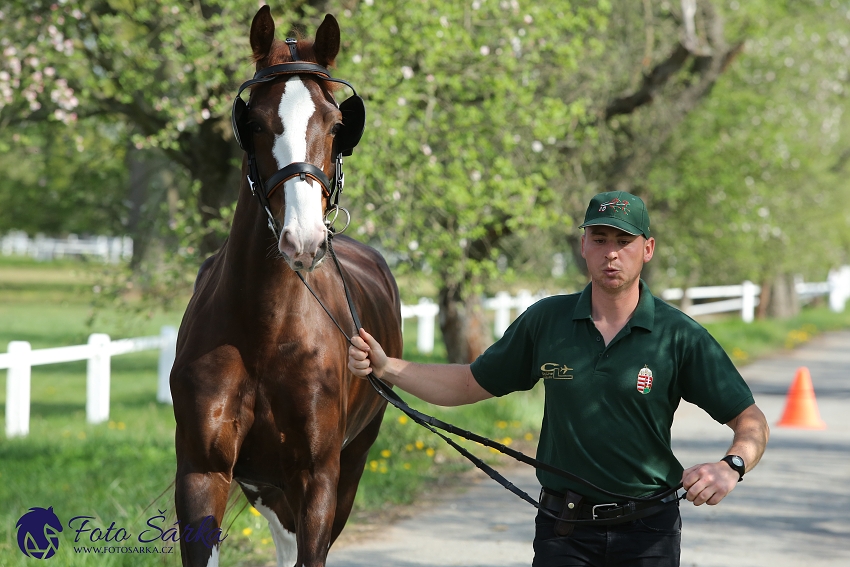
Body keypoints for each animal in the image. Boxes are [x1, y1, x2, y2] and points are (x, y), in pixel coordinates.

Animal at [171, 5, 402, 567]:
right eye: (253, 121)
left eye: (337, 124)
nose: (304, 238)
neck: (265, 330)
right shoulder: (203, 473)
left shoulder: (318, 480)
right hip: (264, 485)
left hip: (351, 465)